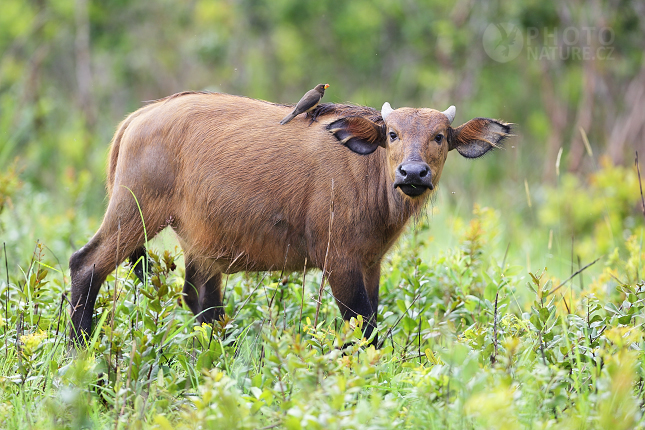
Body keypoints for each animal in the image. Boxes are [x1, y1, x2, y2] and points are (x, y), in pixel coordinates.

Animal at [68, 92, 510, 344]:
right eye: (393, 134)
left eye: (440, 136)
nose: (413, 174)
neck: (368, 175)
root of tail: (137, 119)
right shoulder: (339, 262)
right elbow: (361, 327)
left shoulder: (371, 263)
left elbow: (370, 319)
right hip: (134, 212)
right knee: (85, 264)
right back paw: (82, 352)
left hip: (200, 244)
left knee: (202, 302)